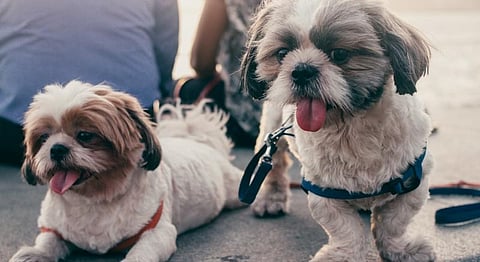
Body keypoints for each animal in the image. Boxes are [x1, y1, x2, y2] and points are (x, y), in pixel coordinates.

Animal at [10, 81, 244, 260]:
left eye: (85, 135)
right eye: (43, 138)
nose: (56, 148)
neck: (96, 198)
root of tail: (197, 141)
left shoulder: (157, 232)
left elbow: (142, 252)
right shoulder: (54, 227)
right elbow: (48, 241)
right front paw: (33, 254)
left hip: (235, 190)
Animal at [240, 0, 436, 260]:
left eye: (340, 54)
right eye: (282, 54)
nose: (302, 69)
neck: (351, 126)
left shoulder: (413, 182)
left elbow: (394, 222)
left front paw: (401, 250)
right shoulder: (324, 191)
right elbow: (345, 229)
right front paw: (344, 254)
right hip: (273, 128)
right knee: (274, 161)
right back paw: (271, 198)